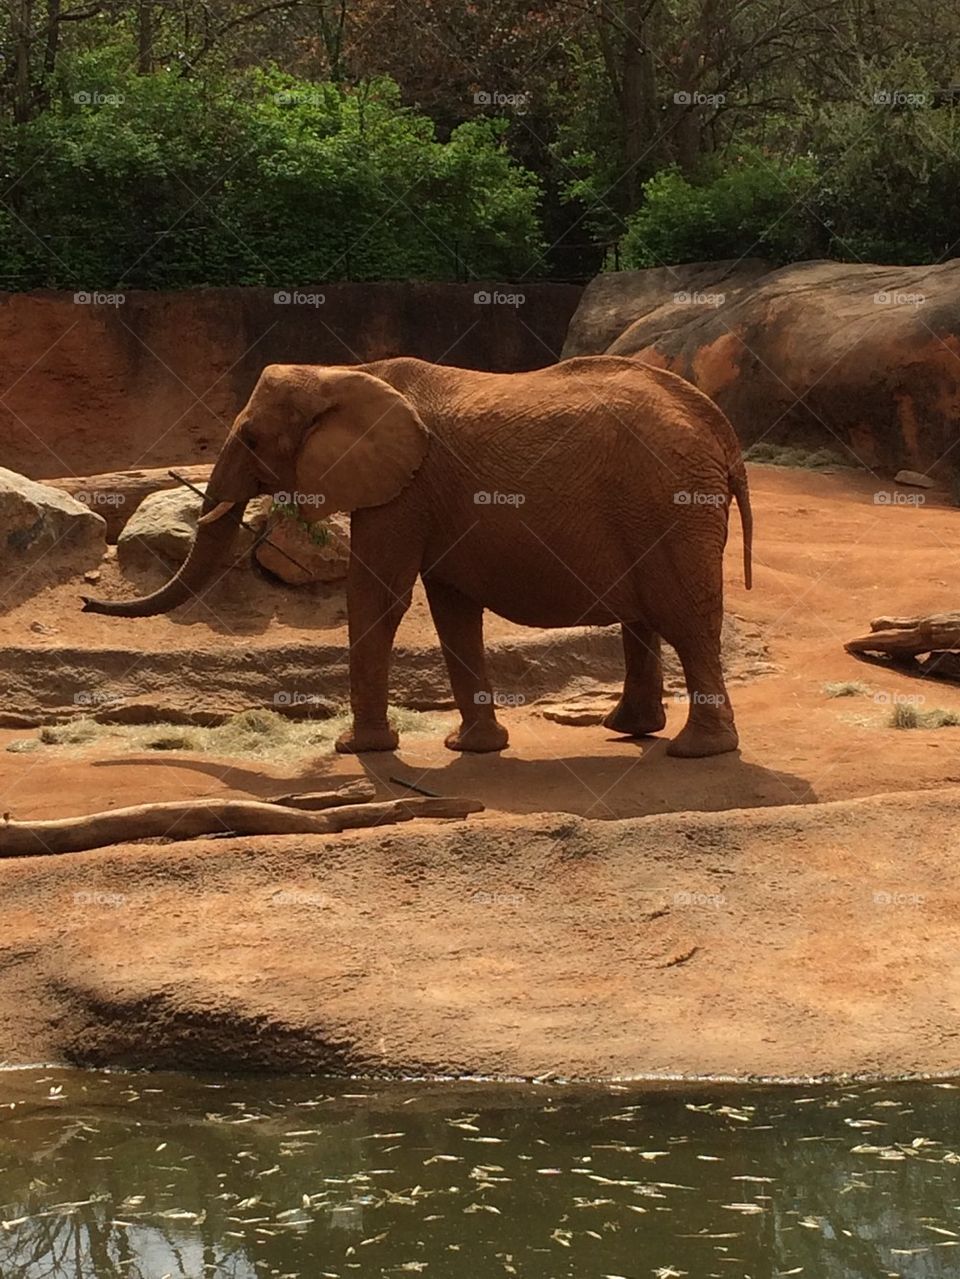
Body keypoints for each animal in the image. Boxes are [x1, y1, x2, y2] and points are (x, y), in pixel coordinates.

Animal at [82, 355, 753, 758]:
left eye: (249, 438)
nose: (89, 599)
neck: (345, 372)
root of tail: (723, 433)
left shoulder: (403, 490)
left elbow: (378, 595)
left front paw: (361, 751)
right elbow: (452, 610)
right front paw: (471, 748)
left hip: (670, 501)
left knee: (685, 617)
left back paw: (696, 751)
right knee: (646, 616)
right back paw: (629, 731)